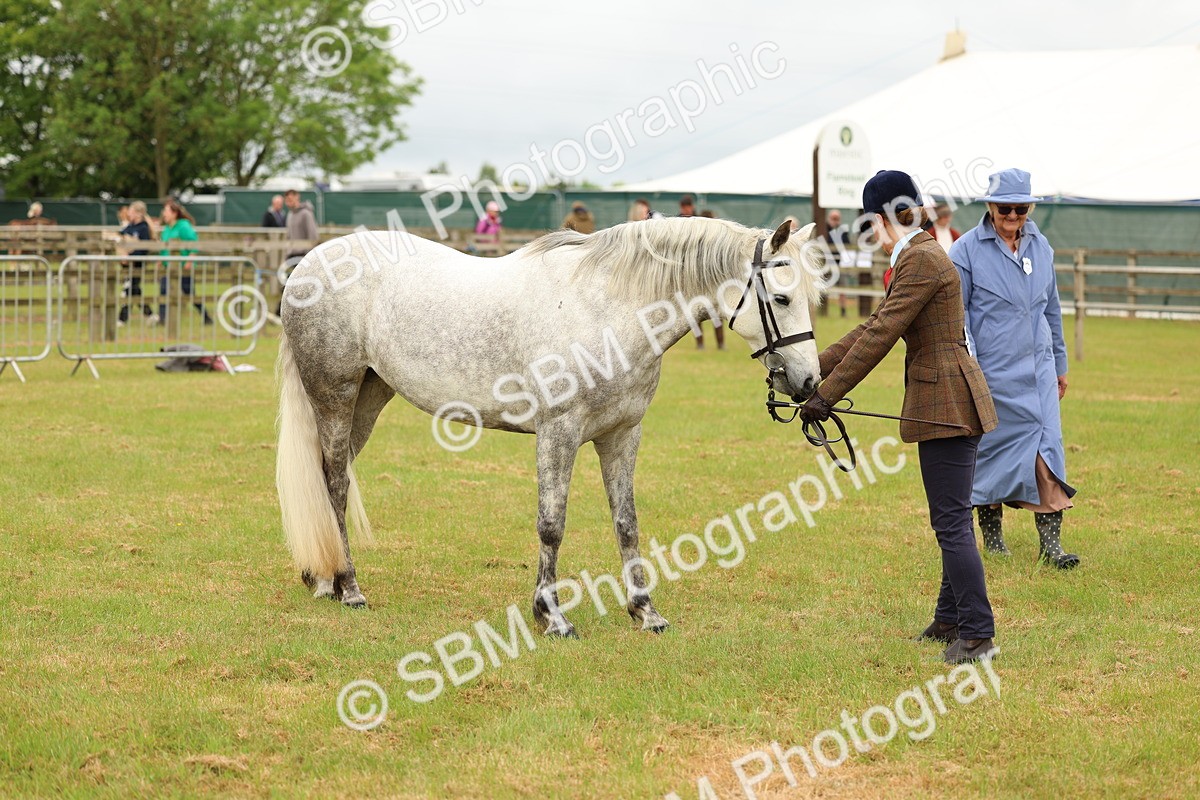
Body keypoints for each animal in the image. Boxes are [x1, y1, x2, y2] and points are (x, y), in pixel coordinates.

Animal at [275, 216, 825, 636]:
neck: (608, 309)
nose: (807, 381)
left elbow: (626, 522)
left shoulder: (622, 434)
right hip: (335, 397)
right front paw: (551, 616)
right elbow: (551, 525)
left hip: (369, 397)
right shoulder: (558, 433)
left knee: (329, 479)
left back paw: (324, 579)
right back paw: (349, 587)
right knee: (337, 483)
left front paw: (645, 612)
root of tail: (310, 263)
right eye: (780, 299)